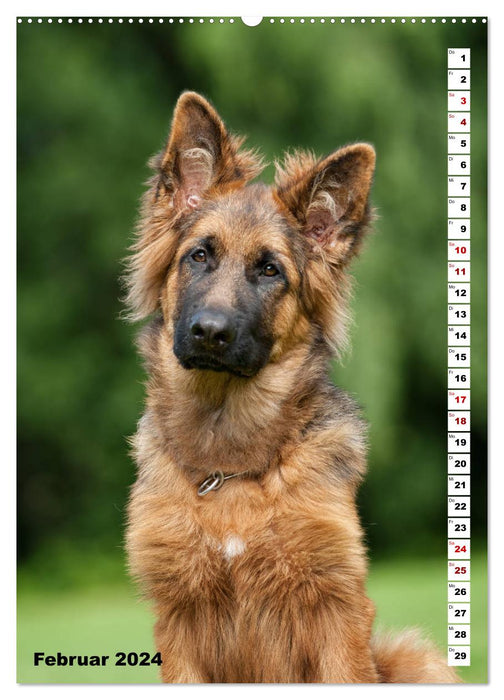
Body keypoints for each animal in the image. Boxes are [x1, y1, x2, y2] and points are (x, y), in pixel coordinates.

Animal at [124, 93, 458, 684]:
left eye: (270, 271)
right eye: (199, 255)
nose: (209, 333)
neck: (230, 469)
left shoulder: (335, 606)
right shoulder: (180, 620)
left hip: (410, 656)